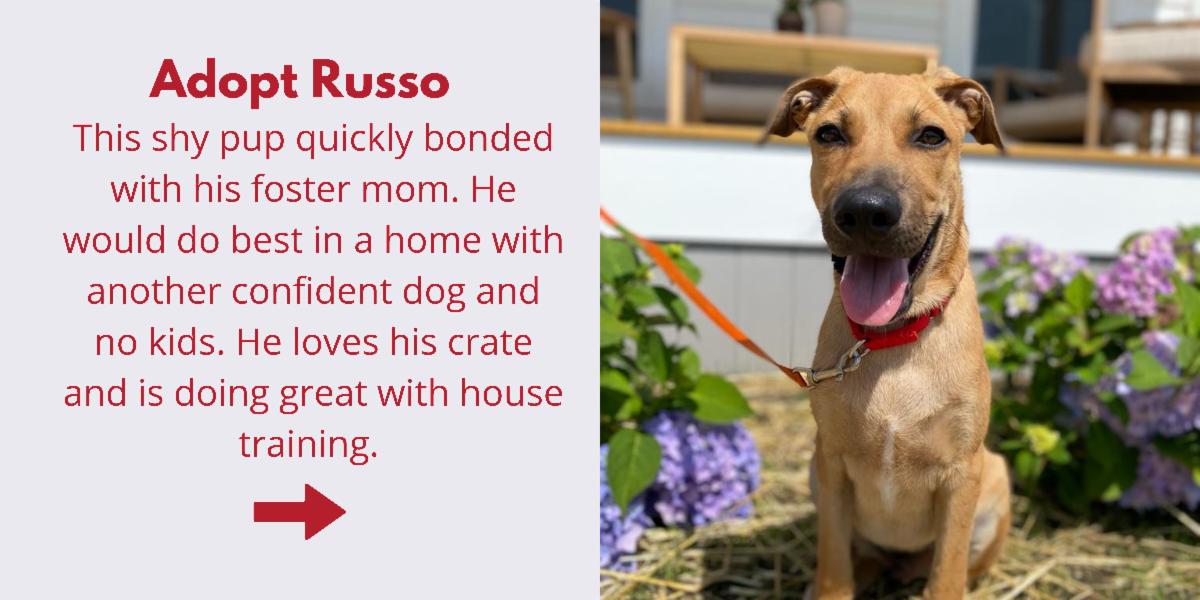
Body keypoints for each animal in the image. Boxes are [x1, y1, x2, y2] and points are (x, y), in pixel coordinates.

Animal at [764, 67, 1012, 599]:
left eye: (931, 136)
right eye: (829, 134)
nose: (865, 212)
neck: (891, 341)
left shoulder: (962, 474)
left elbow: (947, 574)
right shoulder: (832, 465)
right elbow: (834, 565)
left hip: (995, 479)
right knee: (863, 557)